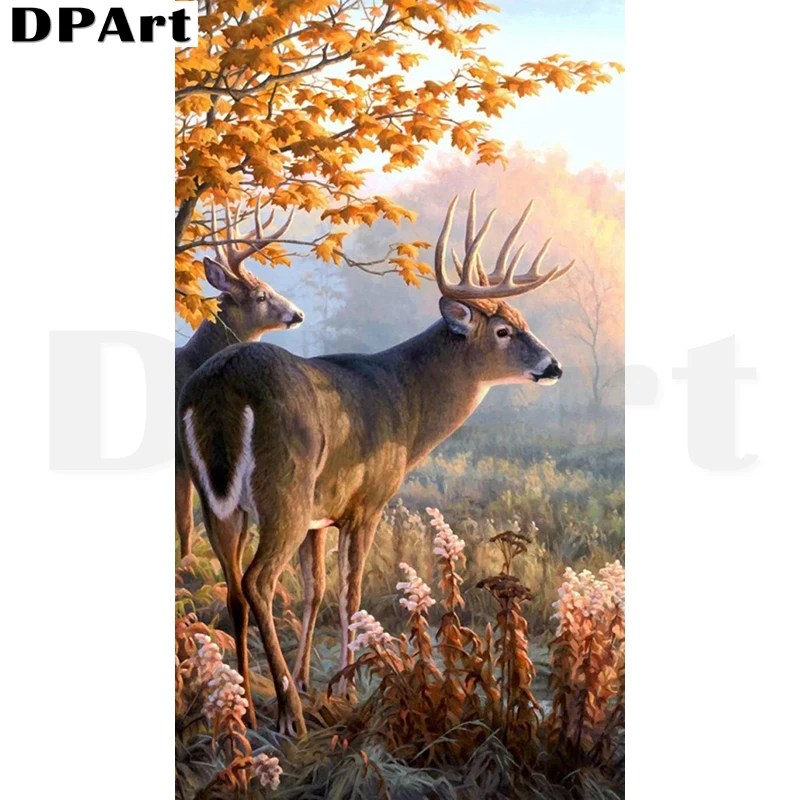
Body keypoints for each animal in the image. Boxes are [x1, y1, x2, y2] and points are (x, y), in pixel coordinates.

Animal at [175, 197, 304, 558]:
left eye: (271, 287)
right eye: (261, 296)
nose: (298, 314)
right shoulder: (180, 458)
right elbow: (185, 521)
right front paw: (186, 562)